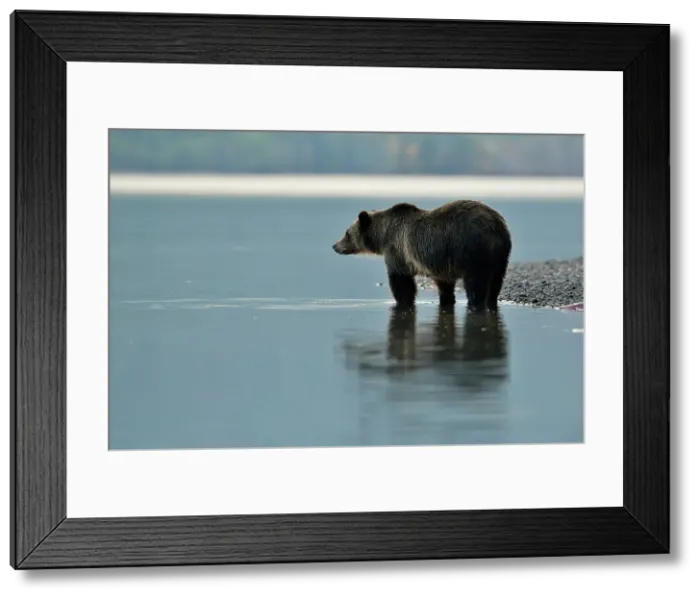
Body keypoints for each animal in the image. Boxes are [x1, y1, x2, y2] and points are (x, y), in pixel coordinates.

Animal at [332, 199, 511, 311]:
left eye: (347, 233)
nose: (335, 246)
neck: (383, 235)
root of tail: (495, 224)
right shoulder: (442, 262)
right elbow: (445, 285)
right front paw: (446, 300)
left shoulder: (398, 251)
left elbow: (401, 282)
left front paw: (403, 302)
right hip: (501, 255)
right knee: (496, 281)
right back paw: (491, 301)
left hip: (472, 248)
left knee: (476, 282)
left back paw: (475, 302)